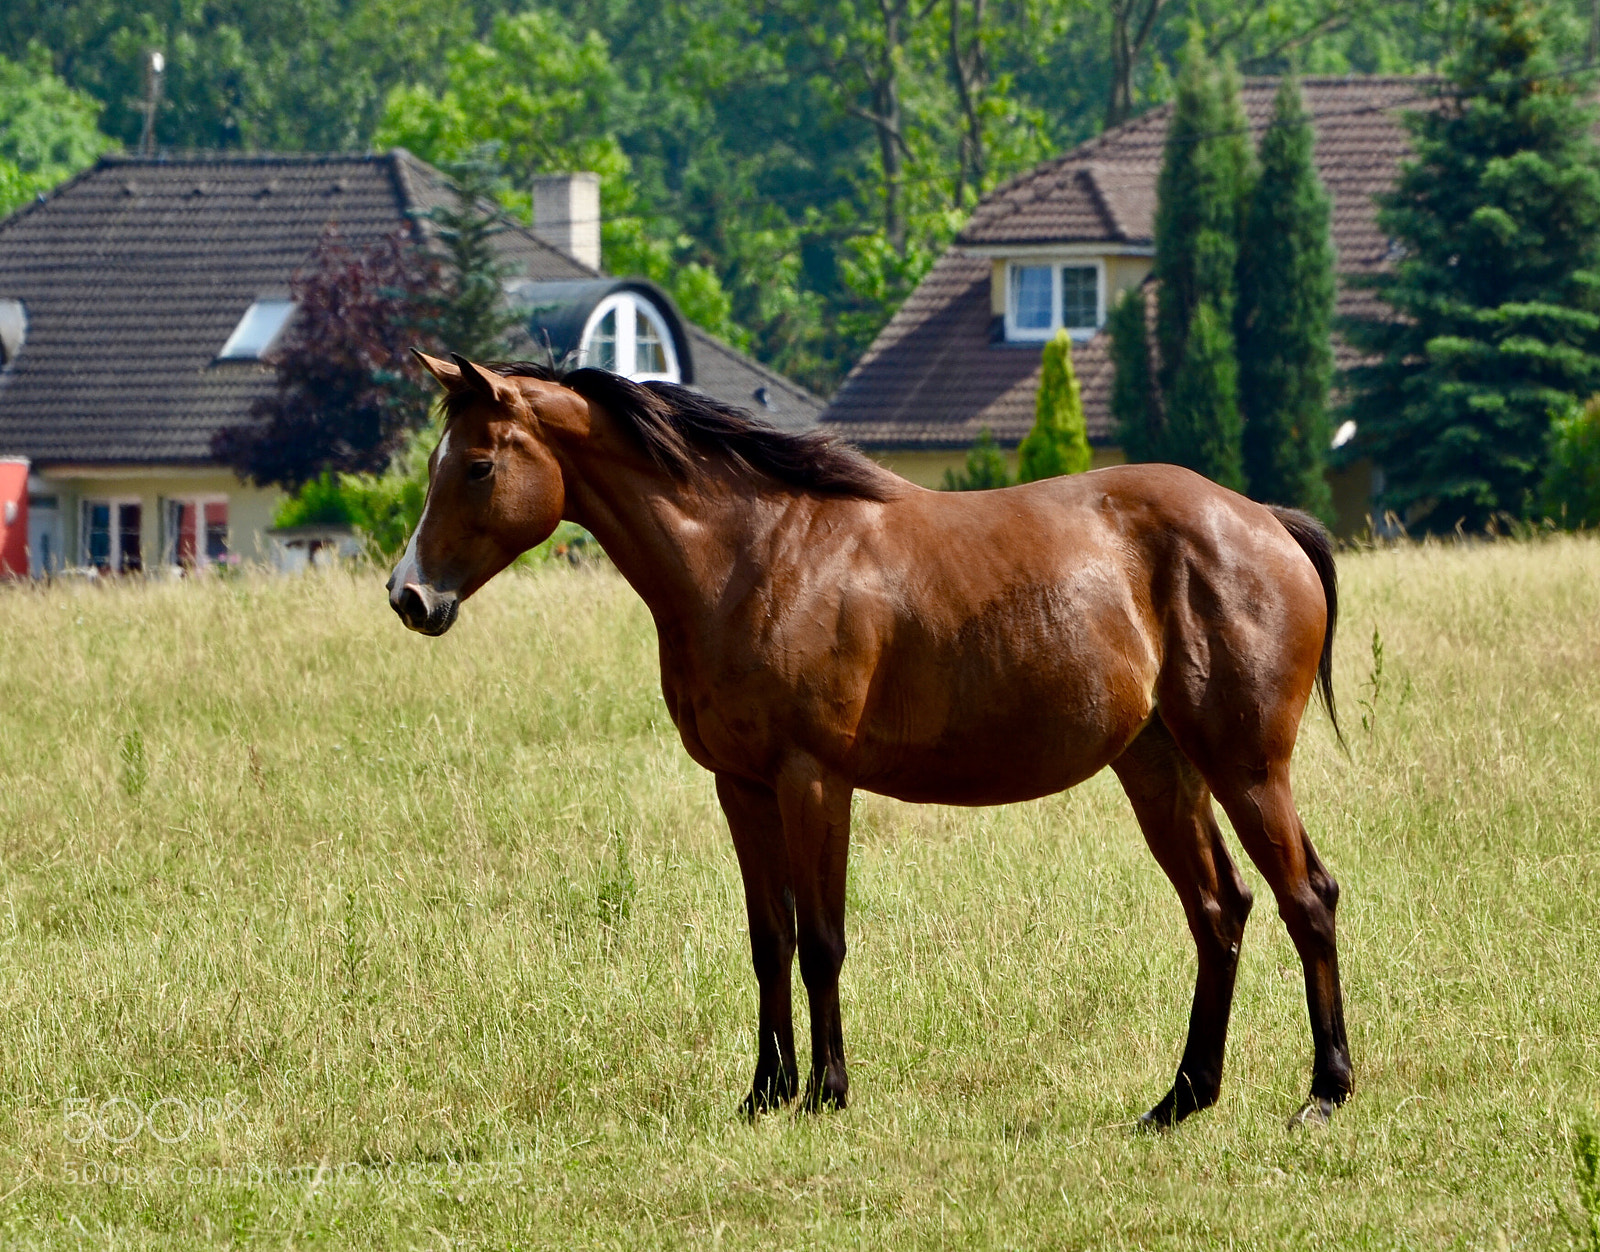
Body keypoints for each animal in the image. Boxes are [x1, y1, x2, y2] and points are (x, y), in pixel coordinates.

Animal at [388, 351, 1352, 1129]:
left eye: (476, 465)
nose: (409, 595)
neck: (757, 555)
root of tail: (1266, 519)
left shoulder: (813, 779)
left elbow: (822, 940)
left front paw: (827, 1091)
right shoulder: (741, 786)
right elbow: (769, 939)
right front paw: (764, 1092)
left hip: (1247, 767)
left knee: (1307, 899)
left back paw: (1325, 1092)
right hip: (1160, 767)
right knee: (1219, 911)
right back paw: (1183, 1097)